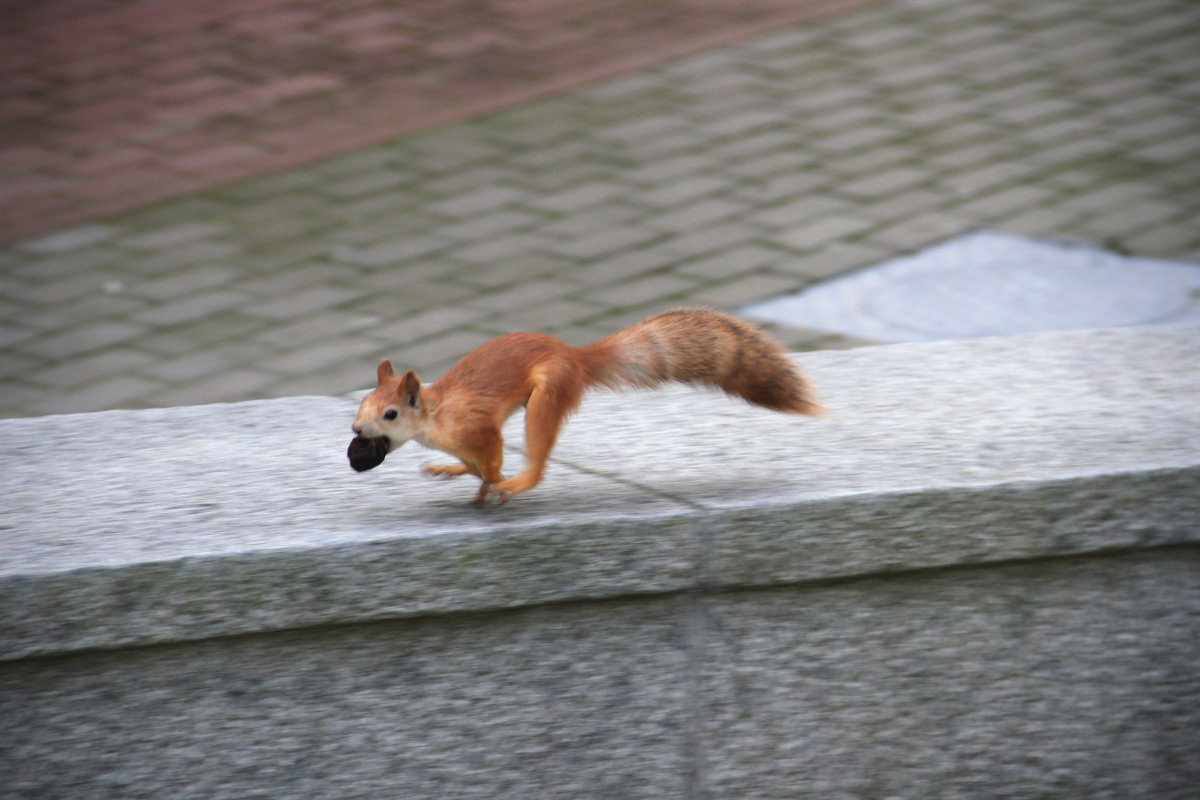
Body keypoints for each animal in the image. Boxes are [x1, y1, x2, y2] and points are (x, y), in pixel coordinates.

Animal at [350, 309, 825, 503]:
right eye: (361, 407)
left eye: (390, 414)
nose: (357, 435)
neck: (434, 418)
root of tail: (574, 356)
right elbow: (470, 465)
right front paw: (453, 470)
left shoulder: (477, 427)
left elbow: (490, 457)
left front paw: (492, 483)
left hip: (548, 395)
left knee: (538, 461)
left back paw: (517, 483)